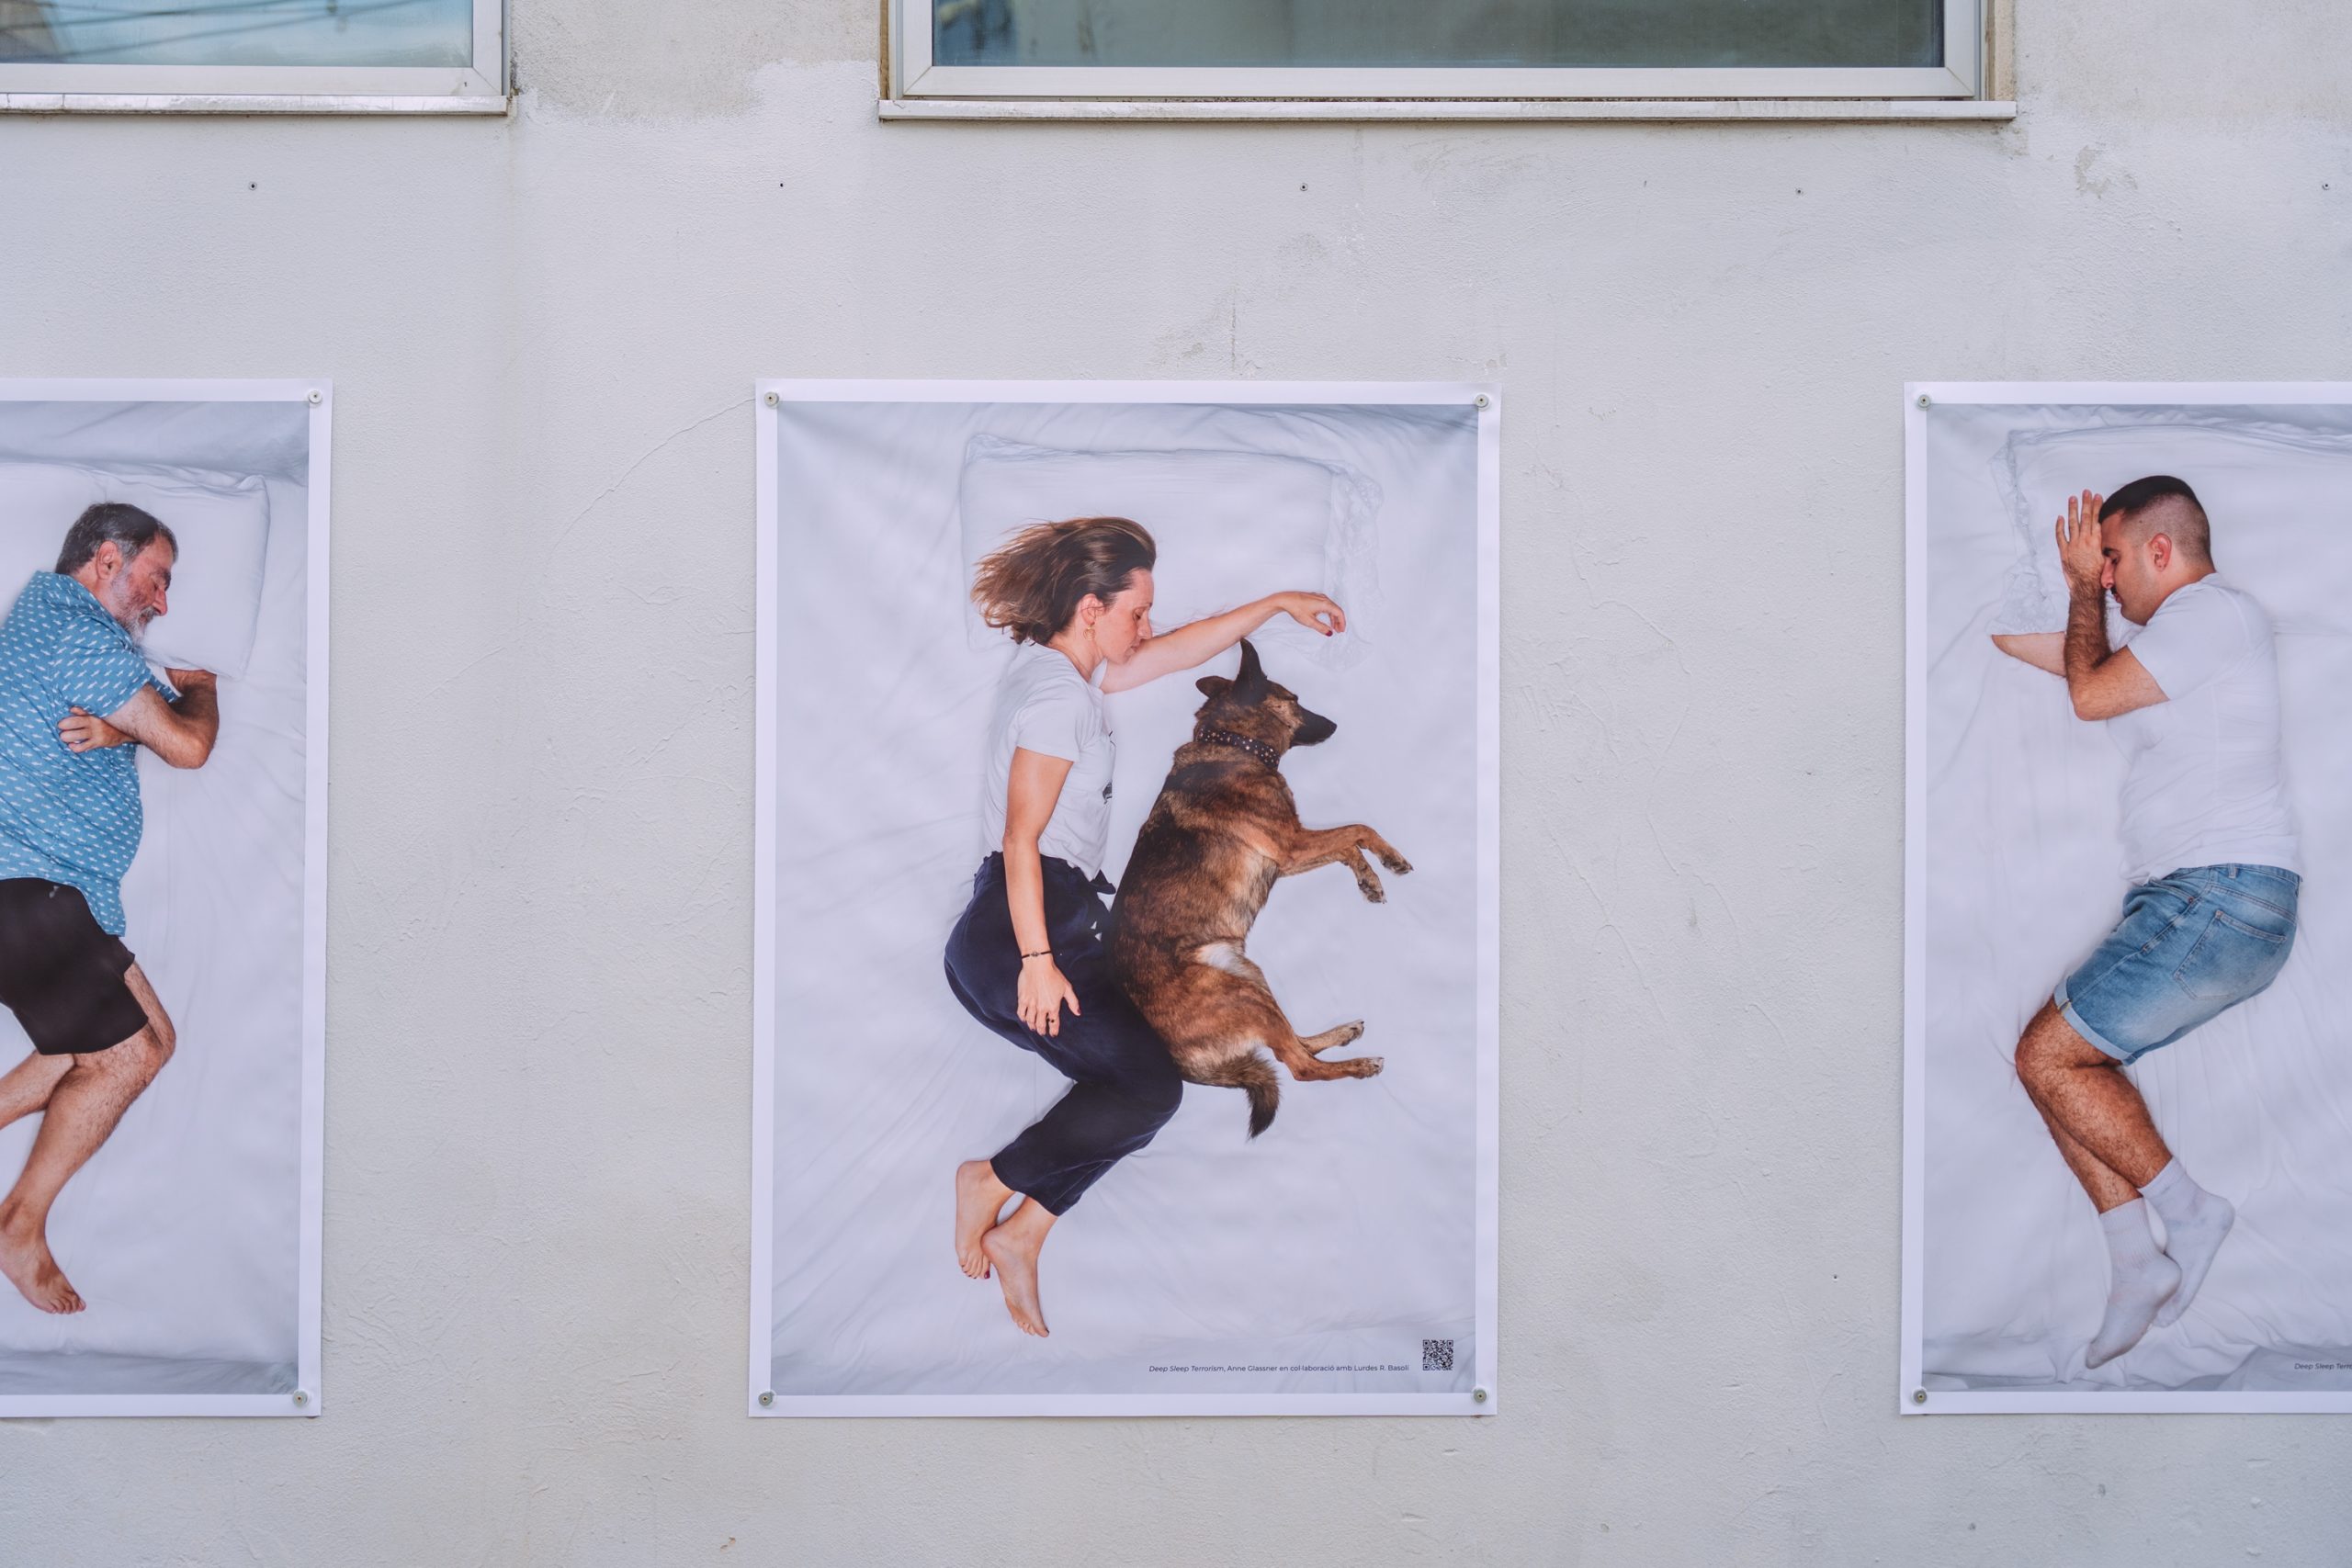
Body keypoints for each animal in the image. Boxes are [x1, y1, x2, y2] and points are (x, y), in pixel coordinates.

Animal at [1109, 640, 1410, 1137]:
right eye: (1294, 699)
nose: (1335, 724)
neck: (1232, 743)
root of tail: (1182, 1065)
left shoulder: (1289, 855)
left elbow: (1348, 846)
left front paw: (1369, 880)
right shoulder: (1290, 844)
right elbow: (1356, 830)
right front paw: (1389, 861)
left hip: (1251, 976)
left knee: (1296, 1044)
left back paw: (1344, 1034)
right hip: (1241, 990)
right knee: (1299, 1065)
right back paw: (1362, 1065)